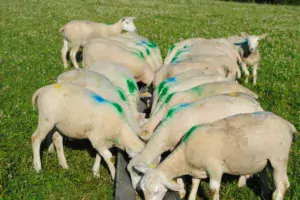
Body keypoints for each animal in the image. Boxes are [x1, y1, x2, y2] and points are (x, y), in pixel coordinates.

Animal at [134, 111, 296, 200]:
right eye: (142, 190)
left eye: (156, 191)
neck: (184, 156)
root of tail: (288, 125)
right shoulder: (197, 170)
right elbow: (195, 184)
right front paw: (191, 197)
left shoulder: (214, 168)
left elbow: (213, 189)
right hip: (266, 160)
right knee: (271, 177)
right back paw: (266, 193)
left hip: (279, 158)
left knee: (282, 184)